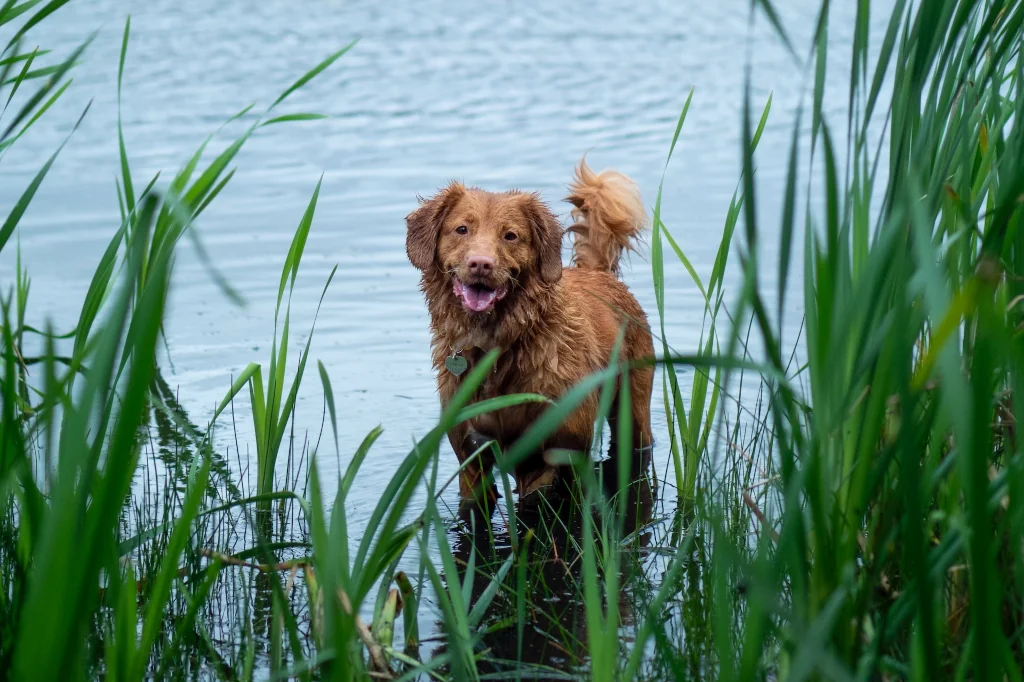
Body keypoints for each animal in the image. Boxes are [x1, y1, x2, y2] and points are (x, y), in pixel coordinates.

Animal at [403, 159, 651, 499]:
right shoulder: (470, 456)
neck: (496, 349)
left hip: (634, 406)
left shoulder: (549, 456)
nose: (481, 264)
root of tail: (599, 274)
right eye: (462, 229)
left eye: (510, 235)